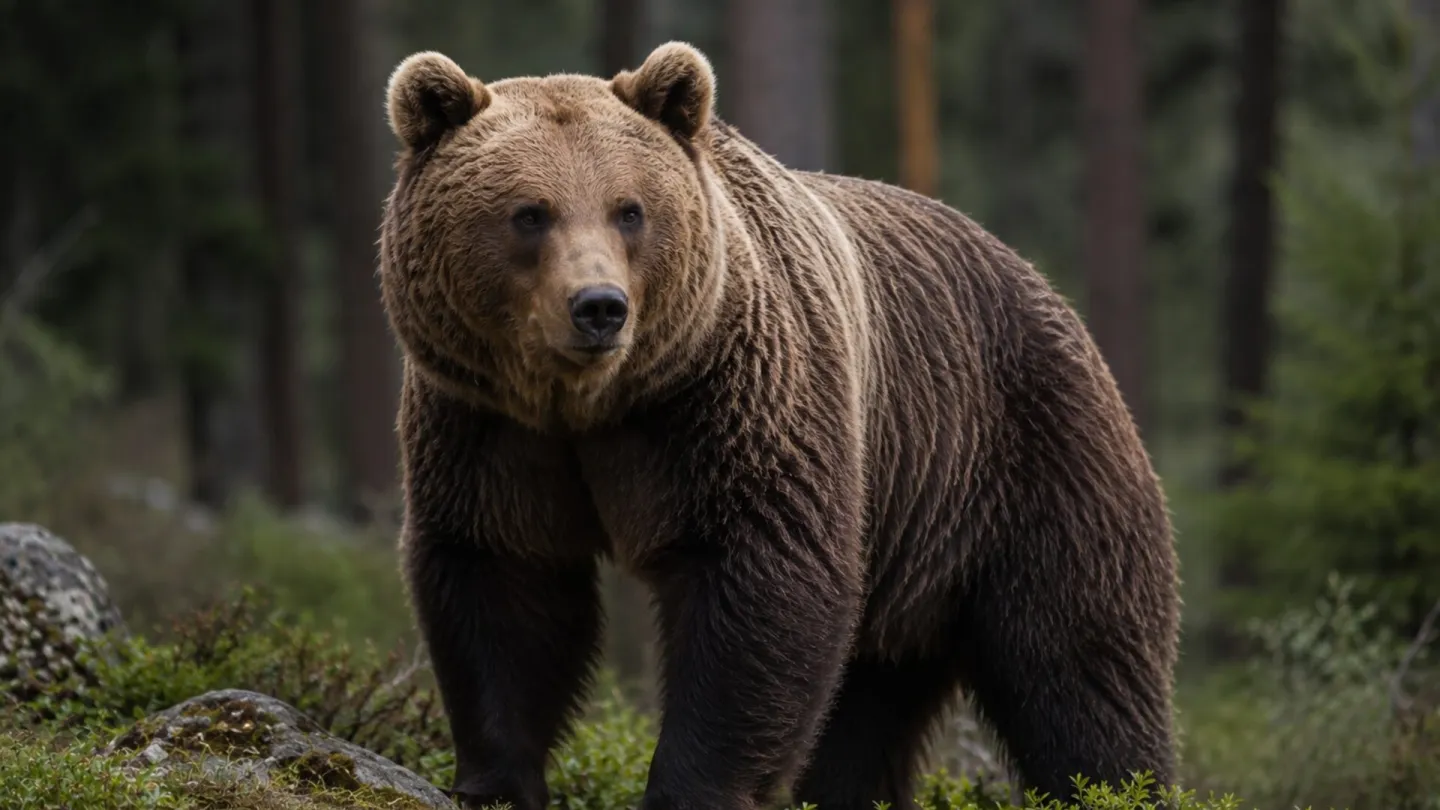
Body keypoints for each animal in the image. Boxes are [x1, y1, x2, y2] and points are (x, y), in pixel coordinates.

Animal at [379, 41, 1180, 810]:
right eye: (531, 212)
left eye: (629, 209)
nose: (599, 306)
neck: (593, 403)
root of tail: (1049, 290)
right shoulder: (489, 427)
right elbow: (502, 581)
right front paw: (494, 781)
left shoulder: (731, 401)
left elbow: (761, 580)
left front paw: (691, 789)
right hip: (910, 542)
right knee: (871, 702)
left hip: (1030, 458)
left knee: (1078, 667)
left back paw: (1120, 783)